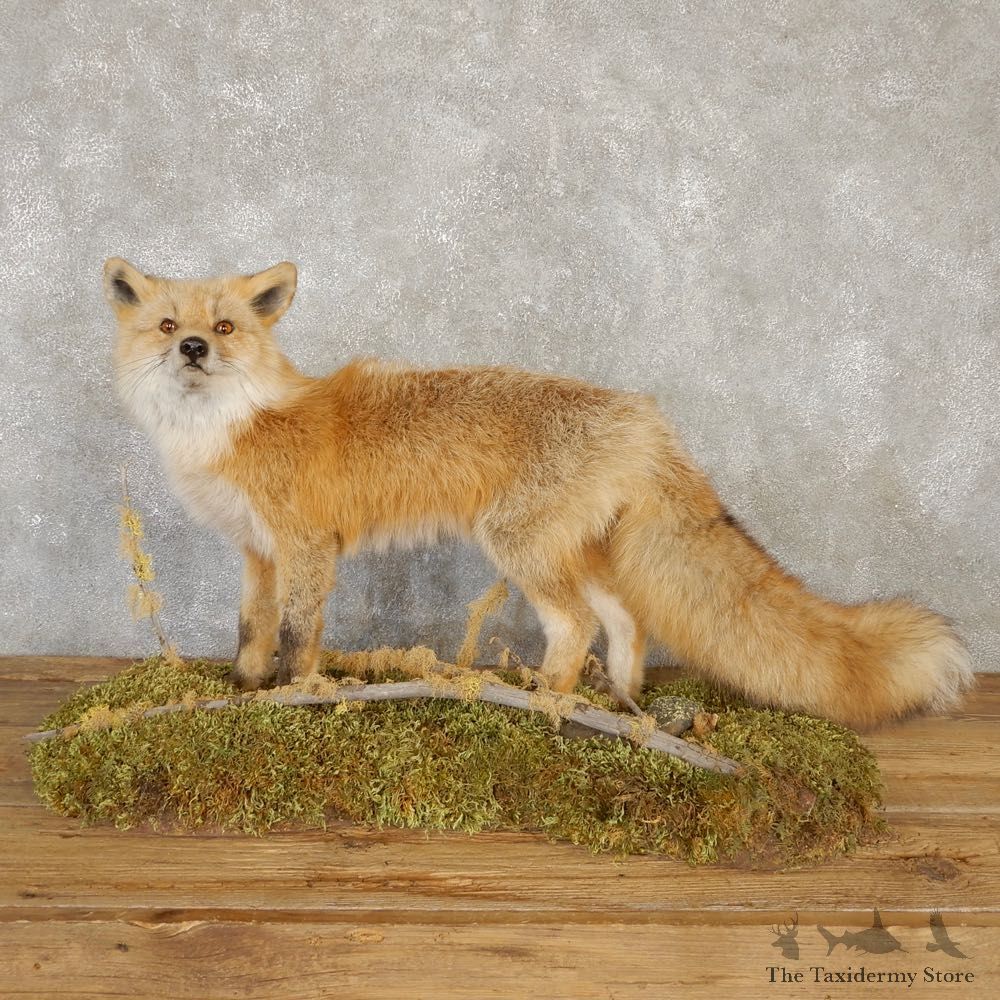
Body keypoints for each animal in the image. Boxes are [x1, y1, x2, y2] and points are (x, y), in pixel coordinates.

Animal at [103, 257, 974, 729]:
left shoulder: (307, 548)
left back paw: (550, 704)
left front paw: (295, 699)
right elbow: (250, 630)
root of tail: (643, 416)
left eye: (224, 329)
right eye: (168, 324)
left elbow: (295, 636)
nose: (191, 348)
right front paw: (242, 692)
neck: (231, 428)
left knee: (580, 624)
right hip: (576, 552)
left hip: (519, 545)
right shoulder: (257, 551)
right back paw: (617, 702)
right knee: (624, 623)